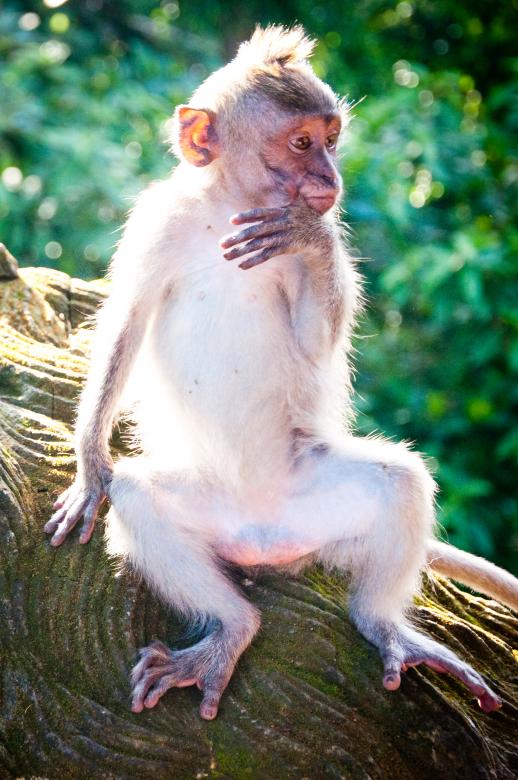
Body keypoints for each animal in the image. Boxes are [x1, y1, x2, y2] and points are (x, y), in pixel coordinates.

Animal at [44, 25, 518, 721]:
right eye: (301, 142)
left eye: (331, 139)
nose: (329, 176)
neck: (228, 210)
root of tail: (267, 538)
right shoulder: (157, 223)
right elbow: (125, 326)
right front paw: (89, 466)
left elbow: (315, 342)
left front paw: (310, 233)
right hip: (215, 506)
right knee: (138, 496)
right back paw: (230, 627)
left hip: (315, 508)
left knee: (400, 484)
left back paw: (384, 627)